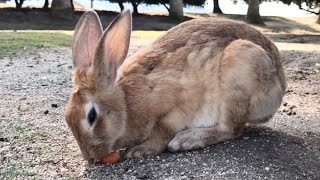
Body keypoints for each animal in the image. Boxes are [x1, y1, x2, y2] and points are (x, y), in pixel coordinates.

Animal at [64, 9, 284, 162]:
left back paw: (187, 140)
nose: (90, 157)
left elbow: (163, 131)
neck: (126, 104)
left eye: (91, 116)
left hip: (240, 68)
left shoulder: (177, 107)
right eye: (67, 118)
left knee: (232, 129)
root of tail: (279, 88)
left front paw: (140, 151)